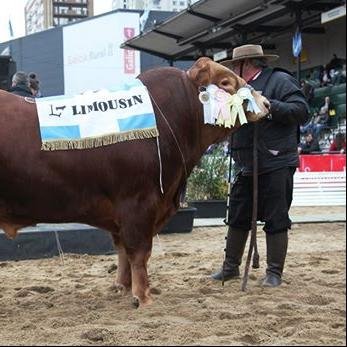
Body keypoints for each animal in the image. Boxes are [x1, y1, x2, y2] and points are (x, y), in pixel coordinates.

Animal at [0, 57, 270, 308]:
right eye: (225, 82)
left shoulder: (120, 213)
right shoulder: (138, 203)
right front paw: (143, 296)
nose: (266, 103)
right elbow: (139, 253)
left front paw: (122, 287)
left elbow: (122, 251)